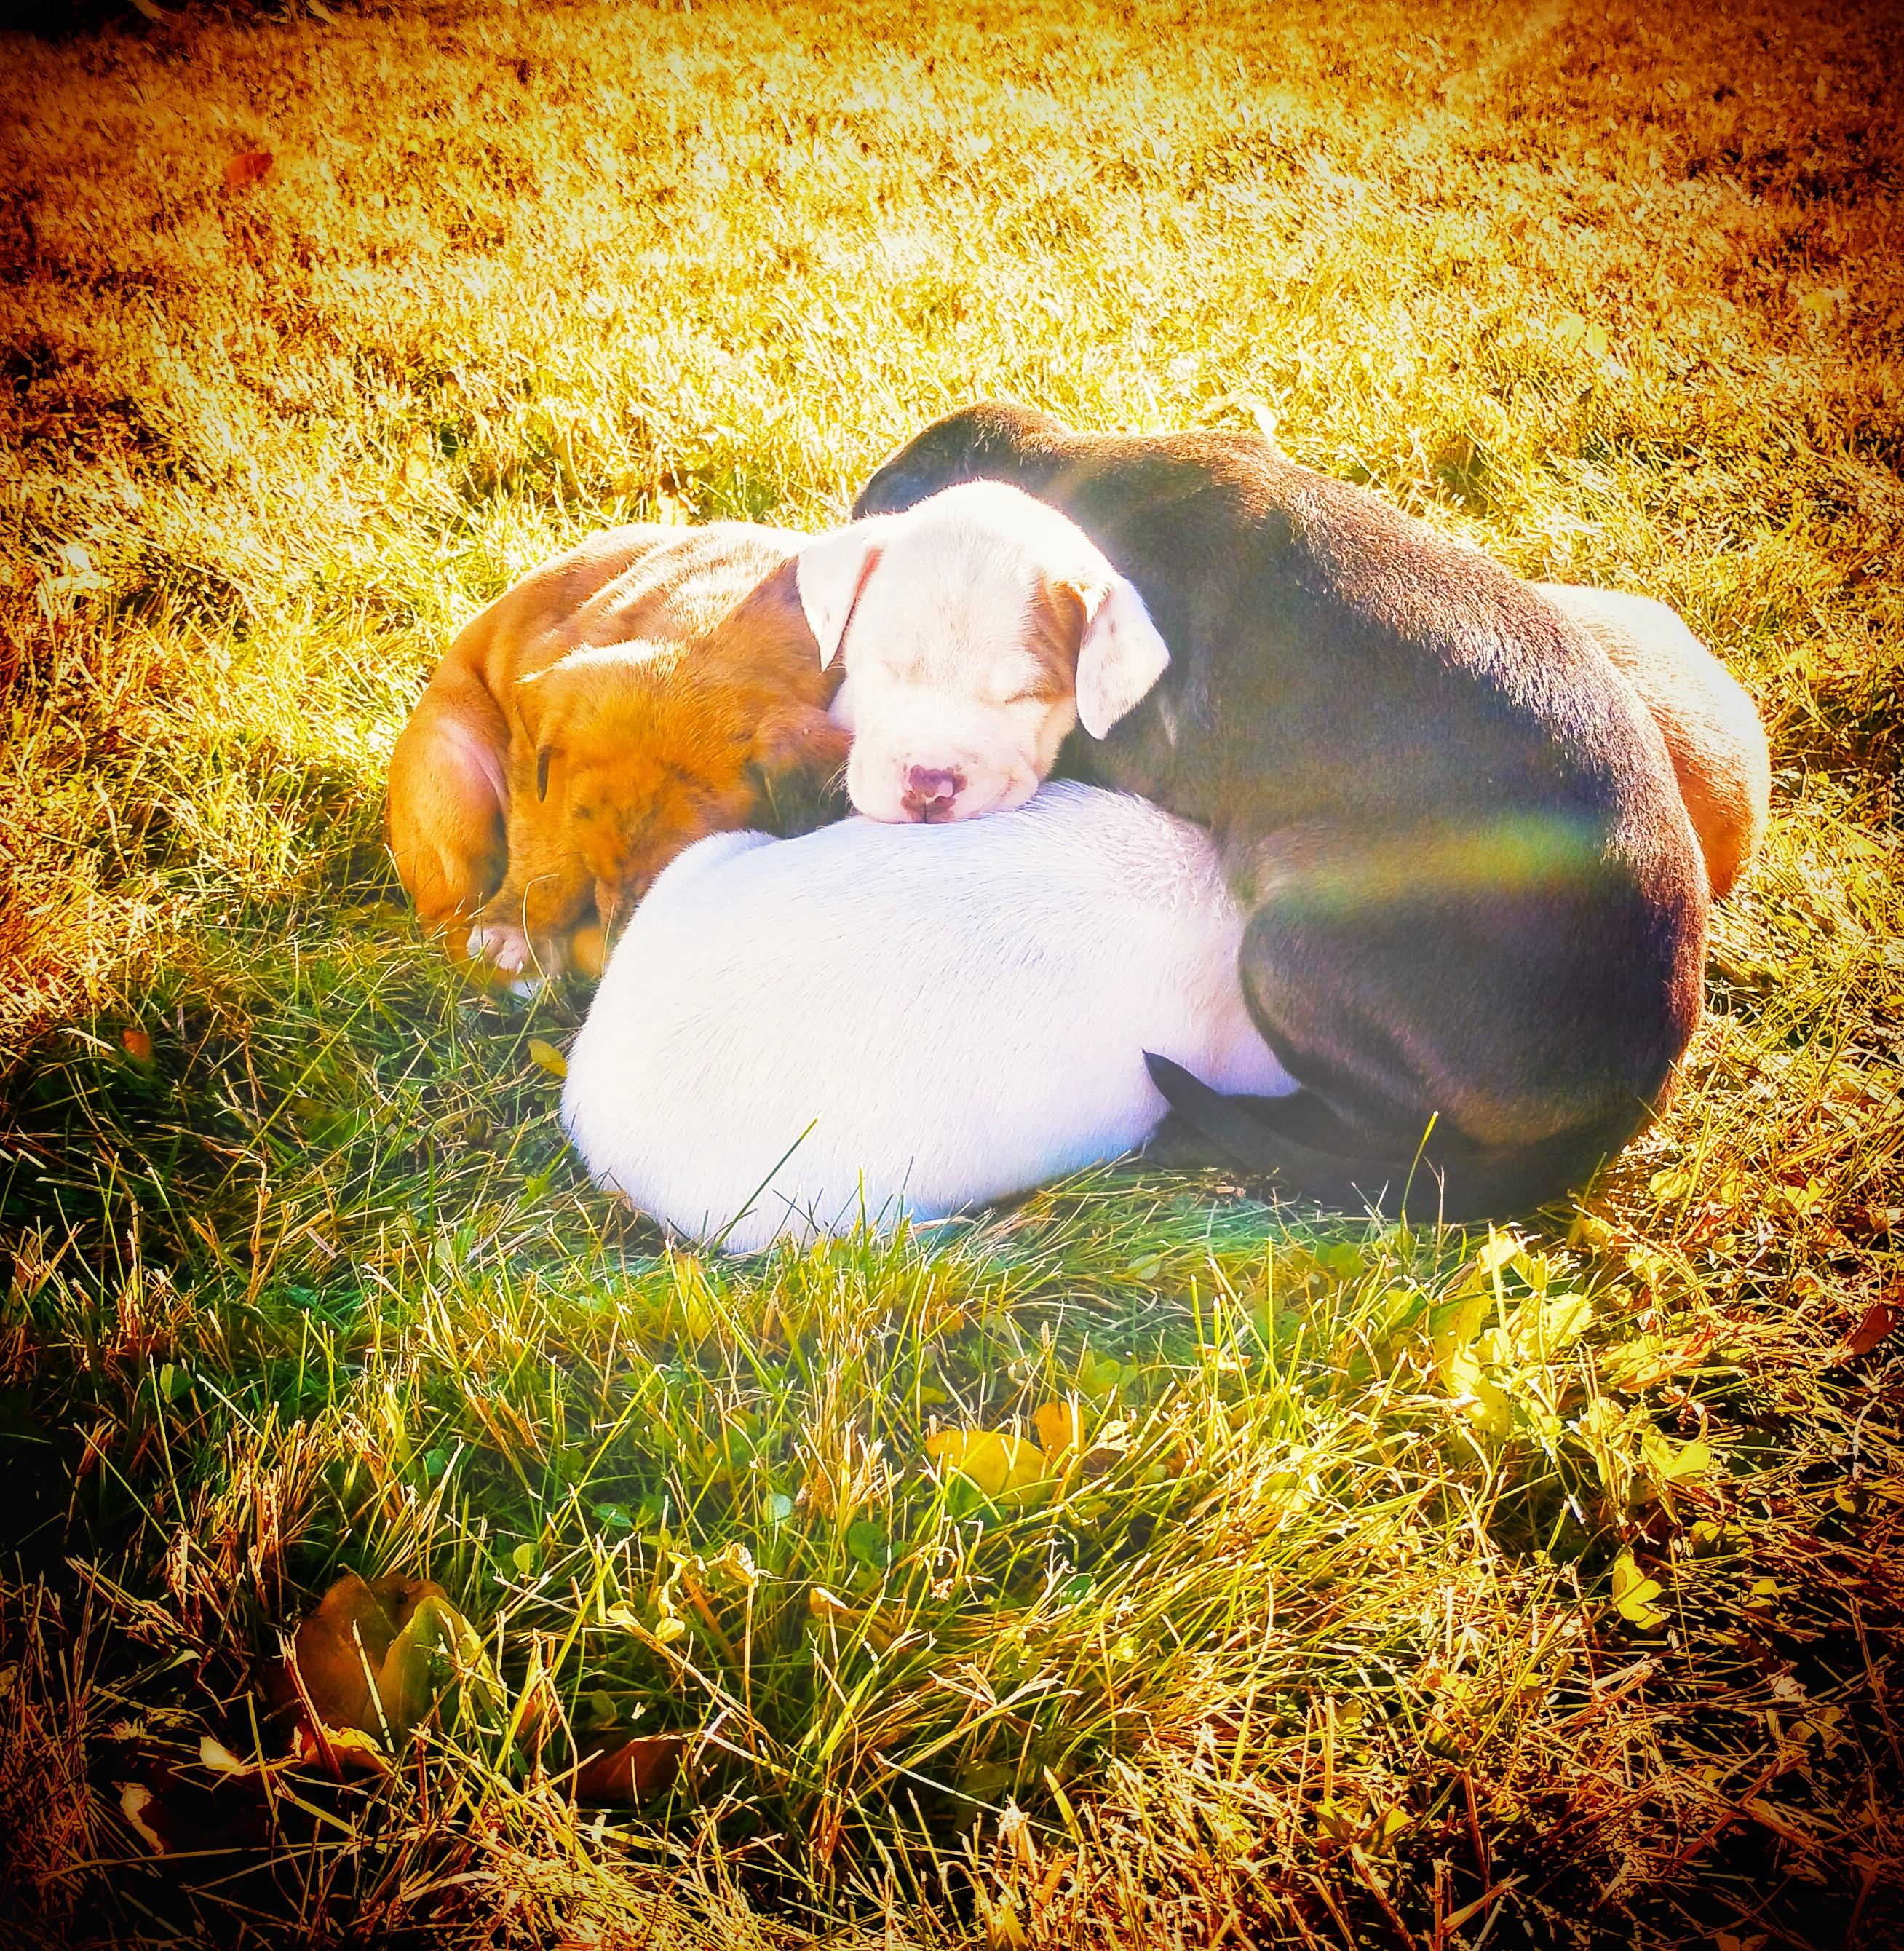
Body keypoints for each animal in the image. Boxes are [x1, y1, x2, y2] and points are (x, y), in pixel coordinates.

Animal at [386, 526, 846, 983]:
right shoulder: (540, 766)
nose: (617, 942)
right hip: (451, 769)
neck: (711, 635)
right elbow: (546, 852)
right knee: (446, 916)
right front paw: (514, 929)